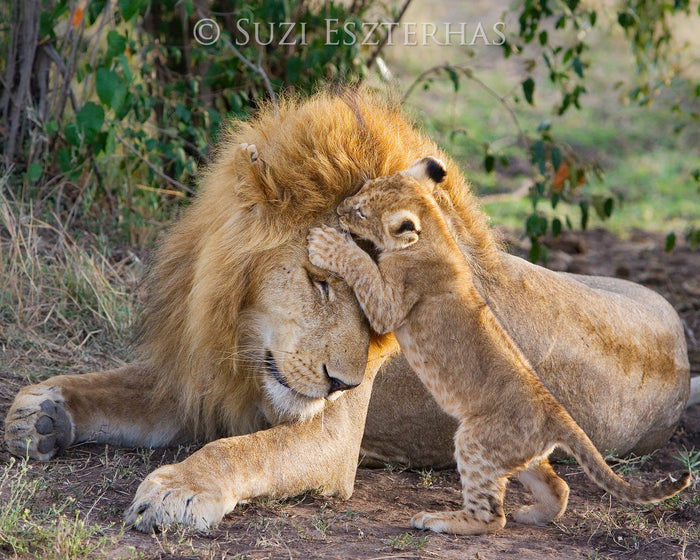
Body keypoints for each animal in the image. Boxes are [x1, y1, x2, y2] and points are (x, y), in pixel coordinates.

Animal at [2, 89, 692, 532]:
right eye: (321, 283)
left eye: (378, 318)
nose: (343, 382)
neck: (239, 332)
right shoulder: (201, 379)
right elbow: (109, 387)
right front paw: (41, 413)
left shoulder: (331, 439)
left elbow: (245, 450)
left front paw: (179, 491)